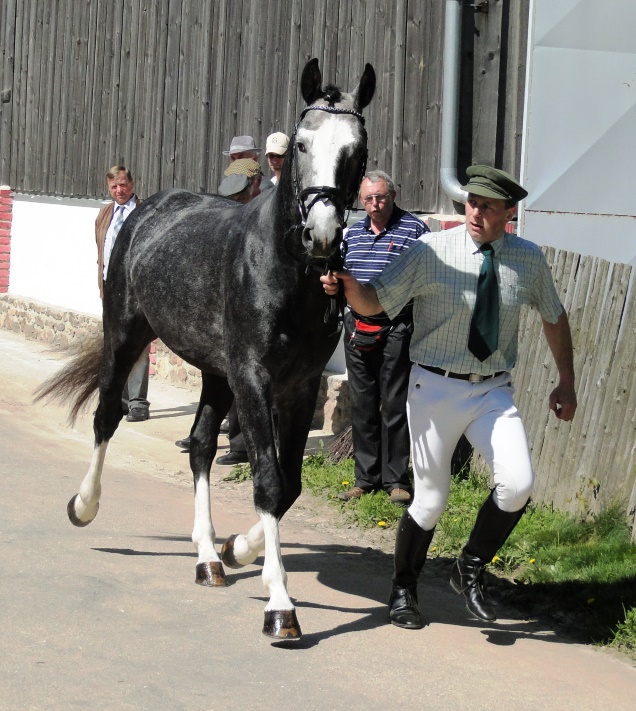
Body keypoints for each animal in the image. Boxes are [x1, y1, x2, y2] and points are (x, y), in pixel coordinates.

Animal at [37, 59, 376, 640]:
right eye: (302, 144)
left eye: (357, 149)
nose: (323, 235)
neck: (284, 271)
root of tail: (146, 208)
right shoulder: (253, 377)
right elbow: (268, 481)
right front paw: (280, 606)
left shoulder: (298, 384)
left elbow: (287, 485)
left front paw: (238, 548)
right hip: (126, 336)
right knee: (106, 417)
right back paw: (84, 505)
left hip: (216, 373)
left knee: (198, 445)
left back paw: (209, 558)